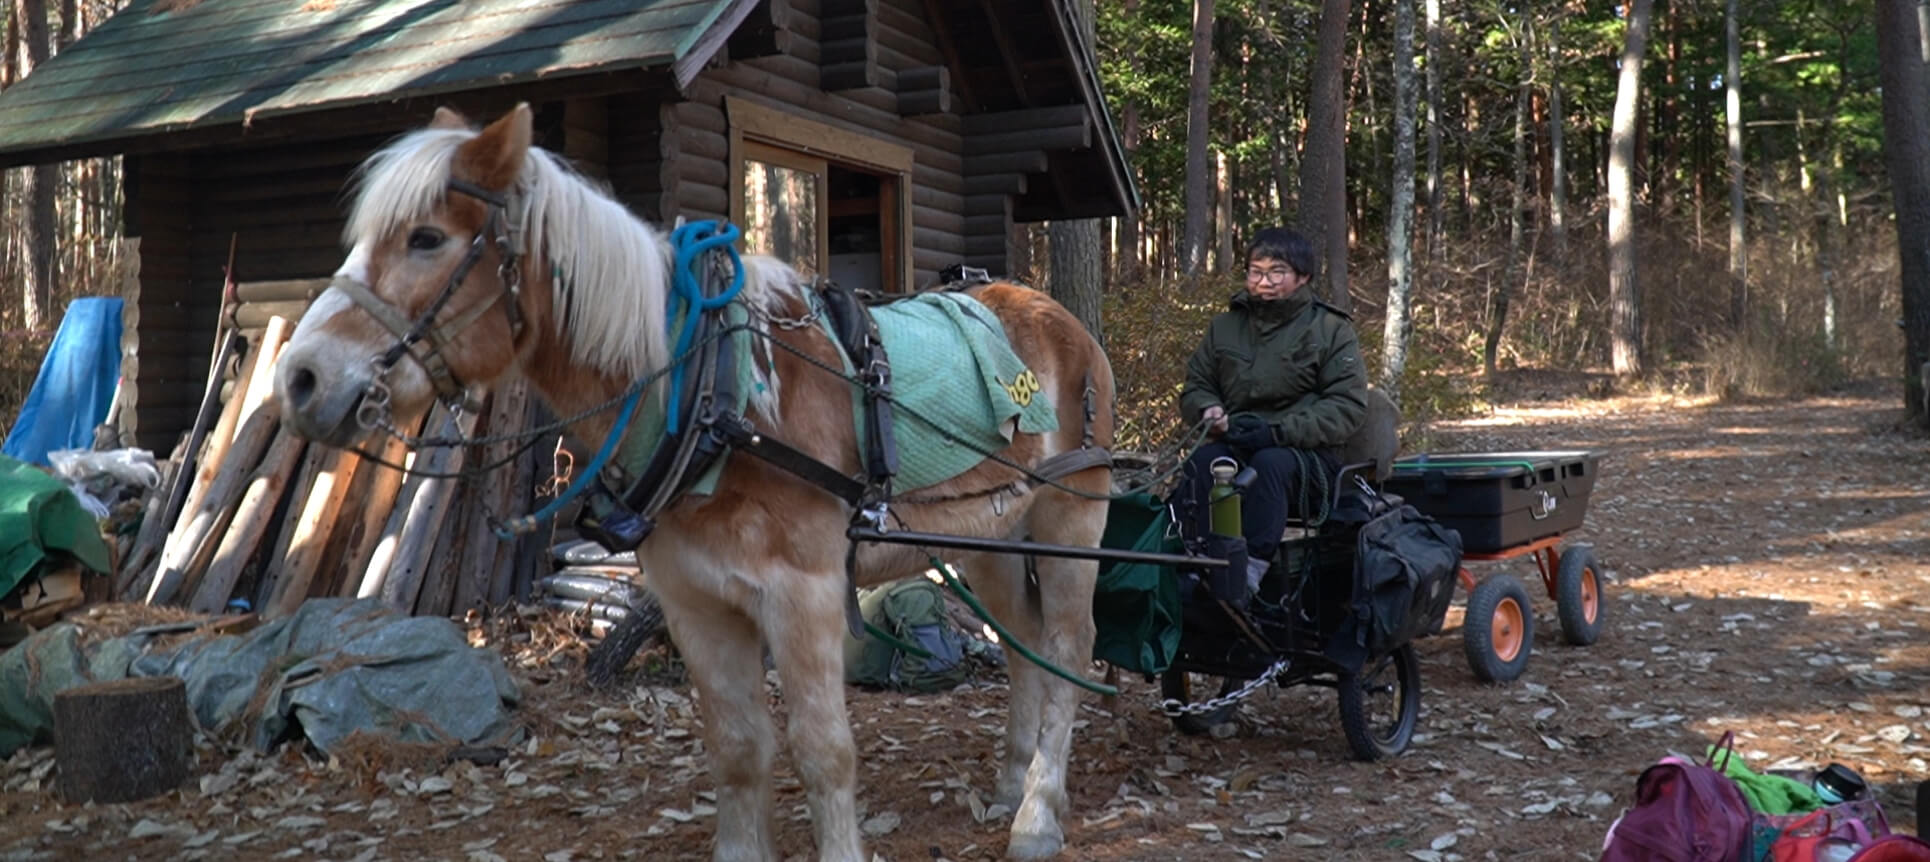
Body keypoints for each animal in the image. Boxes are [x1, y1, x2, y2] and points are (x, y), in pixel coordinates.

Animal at [274, 104, 1119, 860]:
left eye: (425, 239)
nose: (300, 378)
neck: (714, 391)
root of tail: (1063, 318)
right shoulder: (696, 601)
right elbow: (739, 749)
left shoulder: (804, 594)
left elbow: (823, 750)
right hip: (990, 539)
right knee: (1023, 644)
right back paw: (1014, 784)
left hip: (1071, 521)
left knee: (1068, 649)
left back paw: (1038, 815)